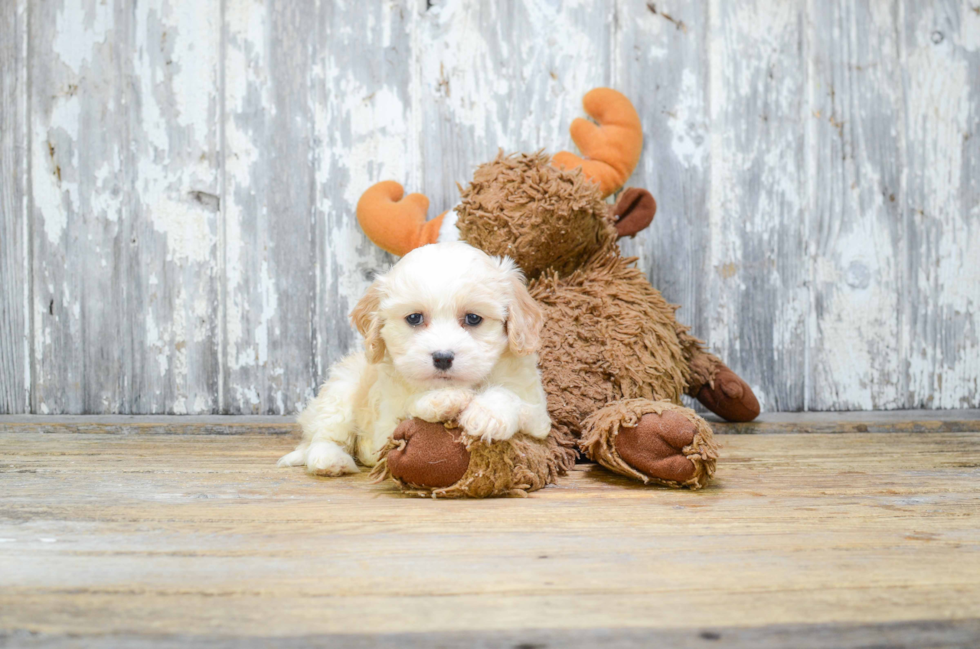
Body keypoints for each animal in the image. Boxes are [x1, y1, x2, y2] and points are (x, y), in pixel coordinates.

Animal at [278, 240, 552, 474]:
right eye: (414, 318)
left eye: (473, 318)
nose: (443, 357)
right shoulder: (385, 425)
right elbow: (410, 408)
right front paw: (445, 399)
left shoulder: (539, 417)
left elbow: (511, 397)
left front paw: (488, 413)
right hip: (340, 390)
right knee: (323, 436)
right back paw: (331, 460)